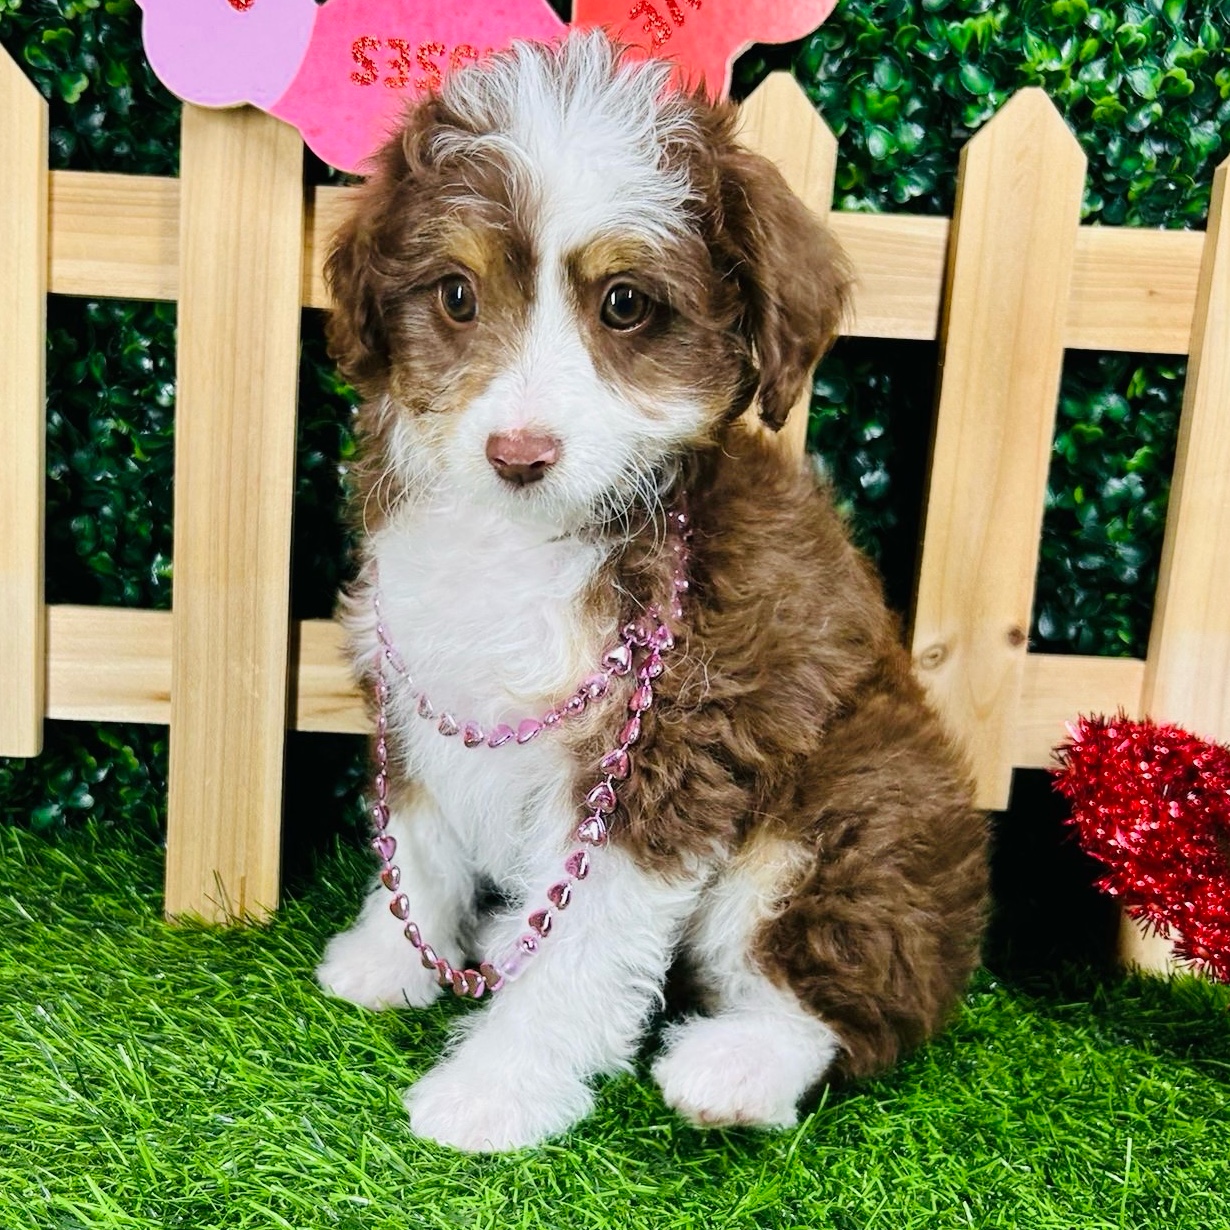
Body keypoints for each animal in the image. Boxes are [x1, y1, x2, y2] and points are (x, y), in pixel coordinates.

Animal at [315, 30, 987, 1152]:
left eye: (625, 305)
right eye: (456, 296)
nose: (518, 454)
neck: (527, 542)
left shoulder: (670, 753)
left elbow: (577, 948)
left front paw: (494, 1092)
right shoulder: (416, 680)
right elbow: (419, 831)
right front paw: (385, 956)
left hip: (851, 814)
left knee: (852, 997)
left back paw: (735, 1071)